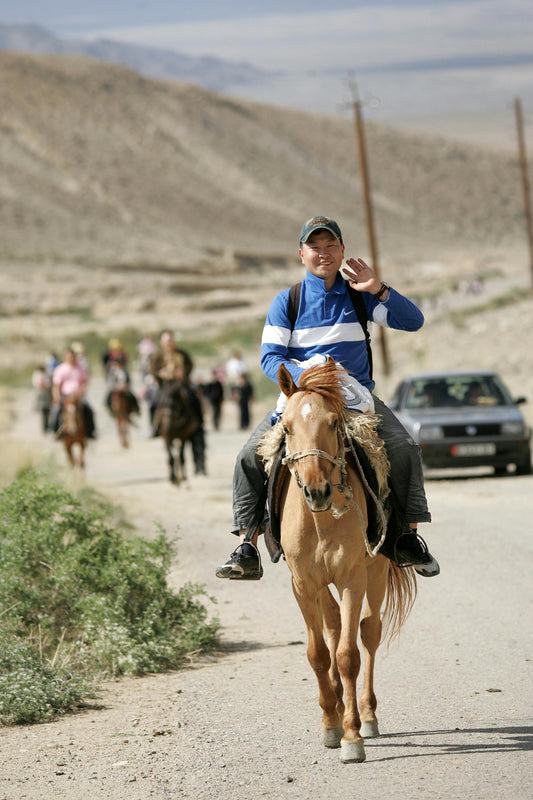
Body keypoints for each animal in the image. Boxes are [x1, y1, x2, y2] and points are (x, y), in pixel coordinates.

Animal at [264, 359, 416, 763]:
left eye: (334, 422)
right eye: (287, 427)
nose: (316, 490)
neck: (320, 519)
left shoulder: (352, 577)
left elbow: (349, 655)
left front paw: (352, 736)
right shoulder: (303, 583)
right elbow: (318, 653)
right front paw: (331, 725)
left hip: (375, 574)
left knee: (368, 632)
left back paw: (367, 715)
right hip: (322, 585)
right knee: (332, 626)